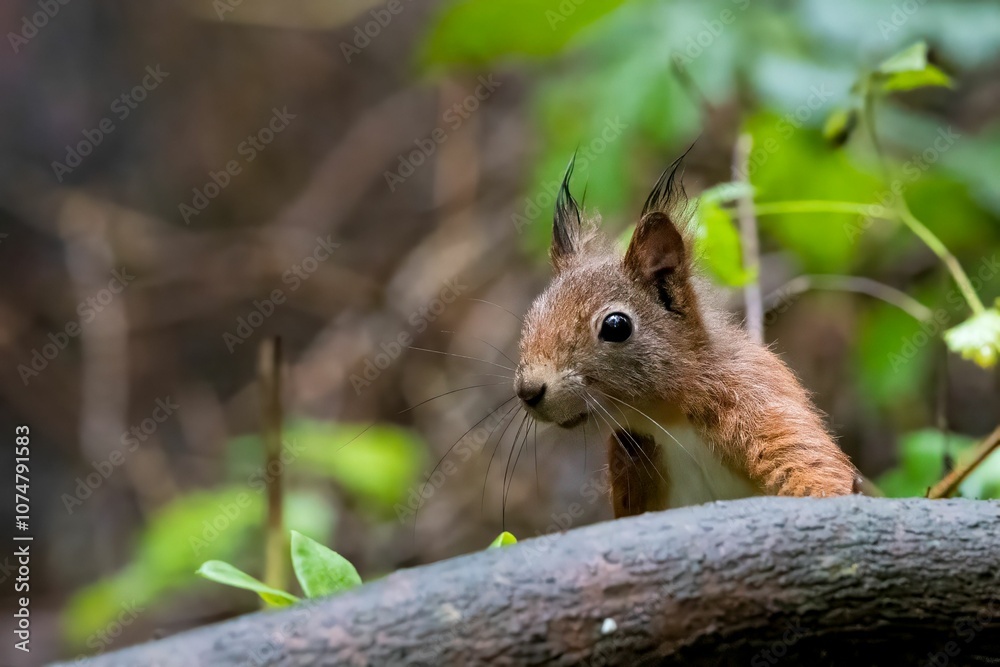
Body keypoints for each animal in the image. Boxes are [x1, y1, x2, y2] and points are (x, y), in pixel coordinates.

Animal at [514, 154, 865, 518]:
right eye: (533, 314)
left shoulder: (756, 402)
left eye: (616, 326)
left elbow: (803, 461)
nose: (528, 390)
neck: (668, 422)